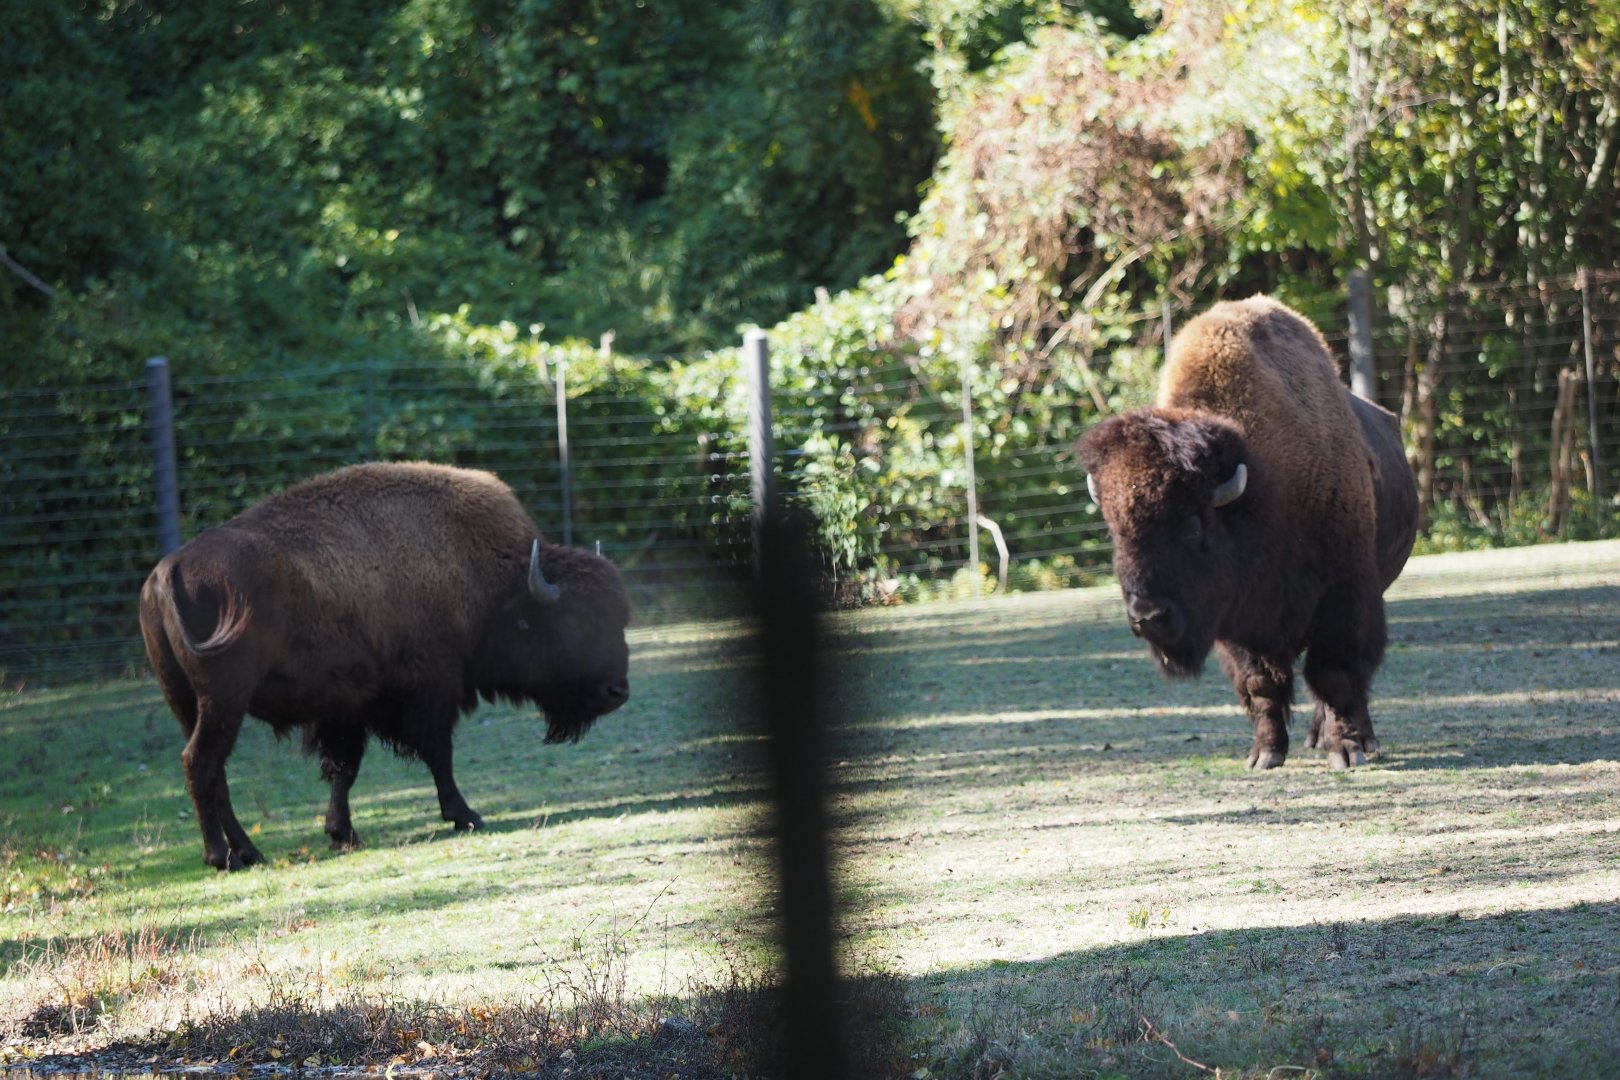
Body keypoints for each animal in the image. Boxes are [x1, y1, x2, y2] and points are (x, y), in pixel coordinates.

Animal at [139, 461, 632, 870]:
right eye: (575, 623)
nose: (618, 692)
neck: (490, 577)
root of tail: (169, 570)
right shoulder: (432, 689)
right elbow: (438, 753)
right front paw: (466, 815)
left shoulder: (346, 708)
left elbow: (344, 768)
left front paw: (343, 834)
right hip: (224, 701)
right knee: (201, 763)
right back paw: (222, 857)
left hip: (188, 703)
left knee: (213, 771)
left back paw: (250, 852)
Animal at [1076, 296, 1417, 770]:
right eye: (1116, 532)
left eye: (1193, 524)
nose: (1148, 616)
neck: (1262, 485)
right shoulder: (1235, 624)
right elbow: (1260, 683)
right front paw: (1265, 755)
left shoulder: (1345, 598)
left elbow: (1335, 672)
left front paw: (1346, 751)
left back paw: (1353, 740)